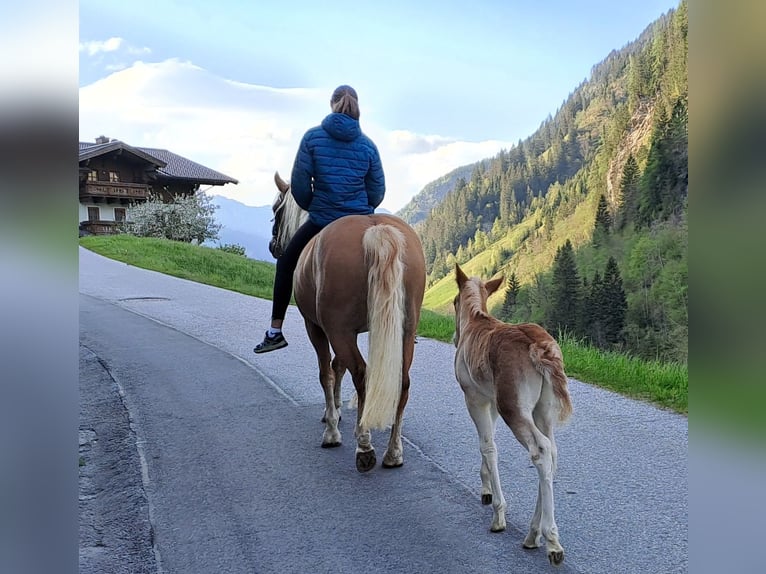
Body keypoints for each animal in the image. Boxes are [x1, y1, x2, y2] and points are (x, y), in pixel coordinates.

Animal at [270, 173, 428, 474]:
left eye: (276, 210)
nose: (274, 247)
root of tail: (376, 231)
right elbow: (338, 367)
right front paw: (335, 412)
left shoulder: (318, 327)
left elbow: (327, 372)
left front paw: (332, 428)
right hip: (403, 331)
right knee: (401, 381)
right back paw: (393, 452)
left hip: (338, 330)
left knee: (362, 376)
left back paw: (364, 445)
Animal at [452, 264, 572, 568]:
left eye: (454, 301)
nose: (455, 338)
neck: (473, 322)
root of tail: (540, 347)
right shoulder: (491, 401)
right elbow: (488, 443)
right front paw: (485, 487)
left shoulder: (474, 396)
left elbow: (488, 446)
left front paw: (498, 513)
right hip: (544, 409)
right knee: (552, 452)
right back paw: (532, 533)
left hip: (514, 406)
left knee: (539, 450)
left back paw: (551, 539)